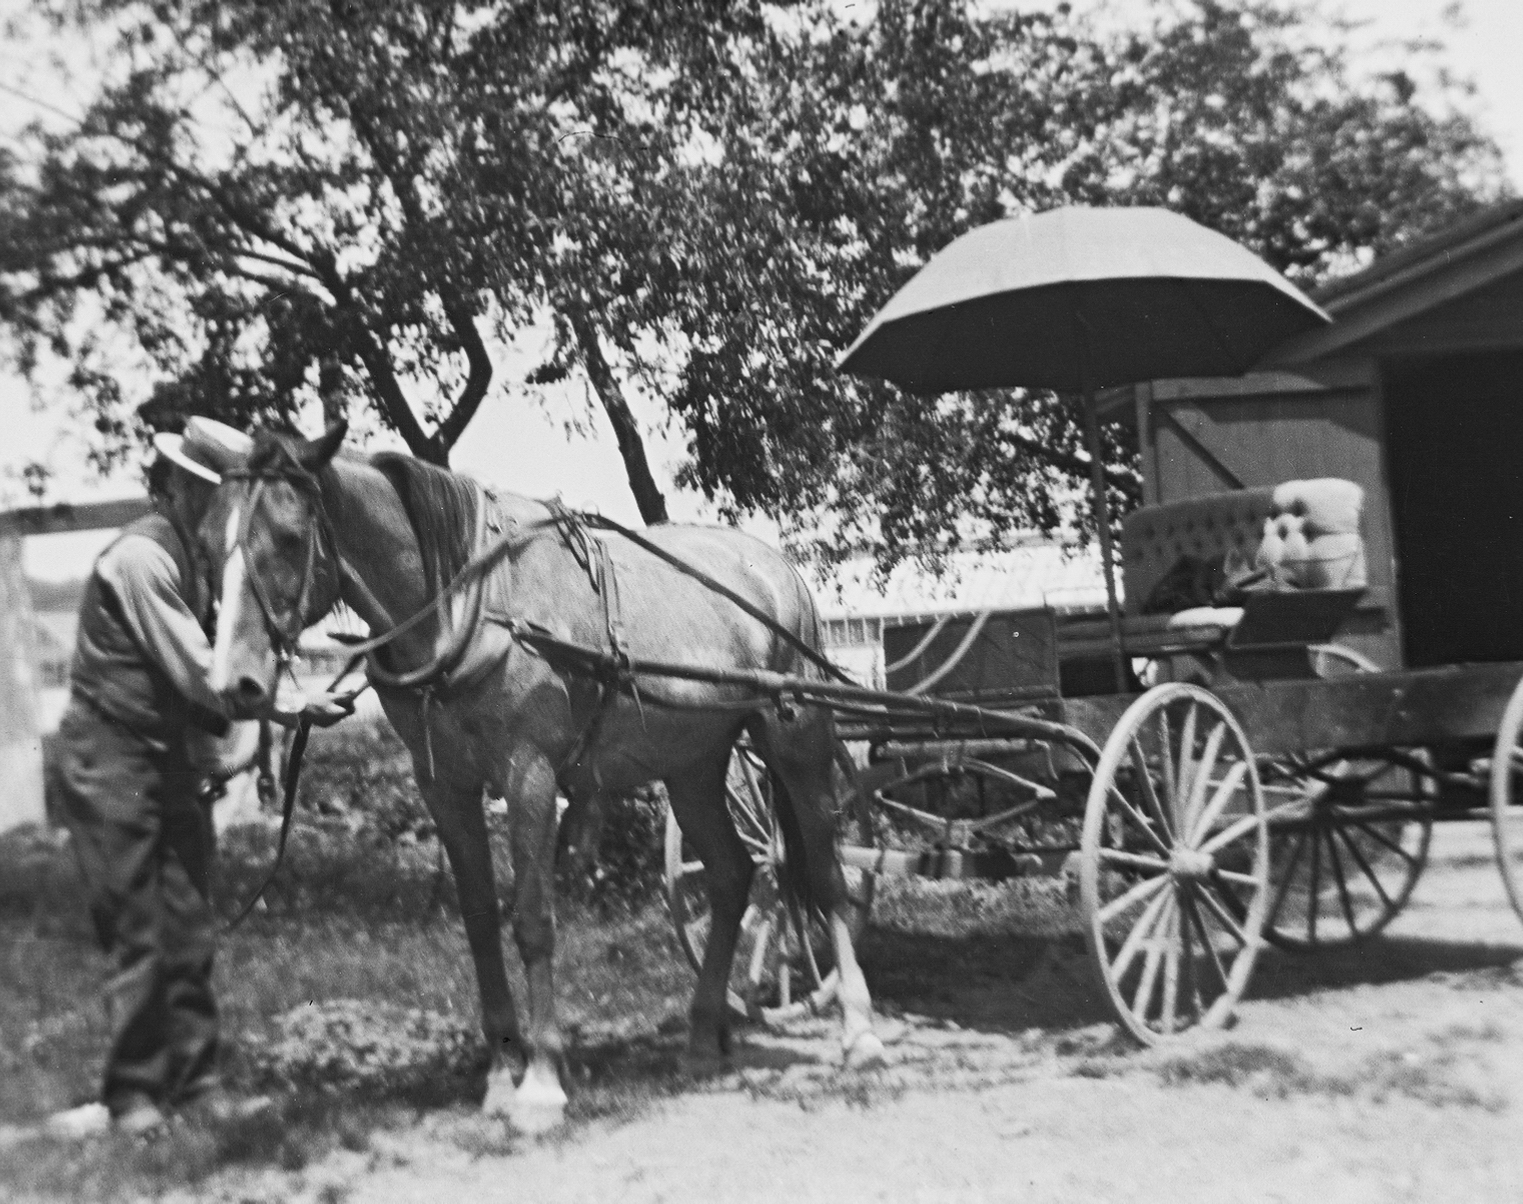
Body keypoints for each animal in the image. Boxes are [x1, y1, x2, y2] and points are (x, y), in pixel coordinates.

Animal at [196, 421, 884, 1132]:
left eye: (288, 537)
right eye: (206, 542)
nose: (232, 684)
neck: (472, 604)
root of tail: (777, 568)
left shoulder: (529, 774)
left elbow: (532, 921)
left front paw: (543, 1080)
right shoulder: (443, 787)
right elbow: (478, 923)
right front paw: (502, 1072)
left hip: (795, 737)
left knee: (826, 871)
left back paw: (859, 1030)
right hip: (693, 764)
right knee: (731, 875)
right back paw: (701, 1035)